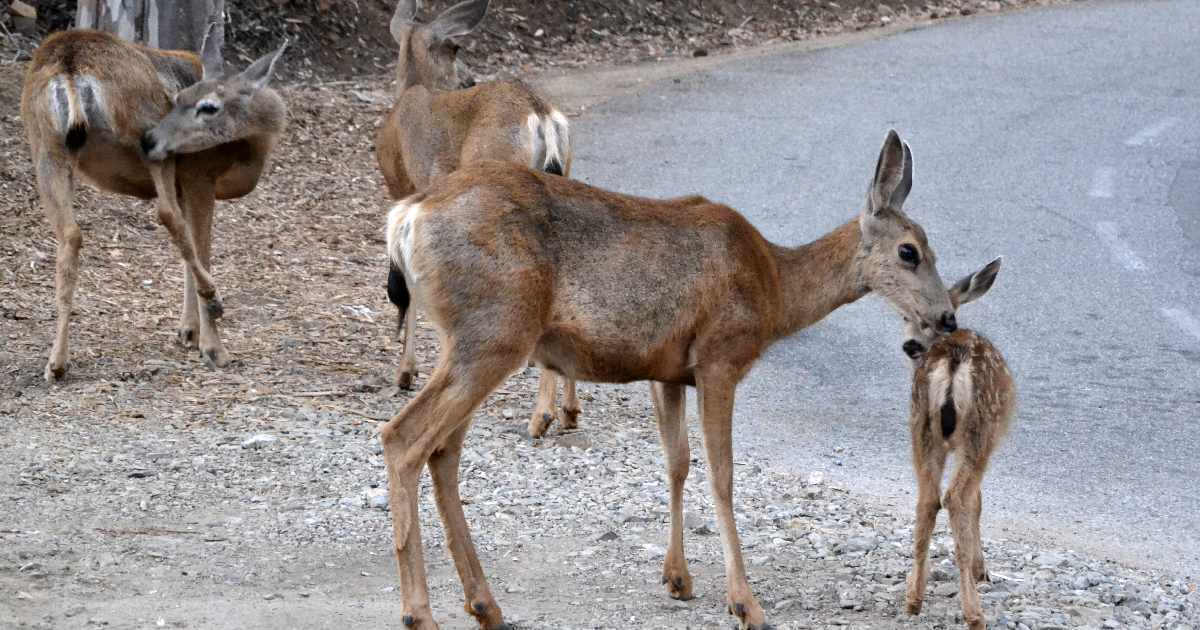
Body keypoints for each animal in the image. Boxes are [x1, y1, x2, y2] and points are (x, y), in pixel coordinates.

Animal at [22, 27, 289, 381]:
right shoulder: (198, 175)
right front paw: (209, 343)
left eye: (206, 106)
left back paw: (57, 363)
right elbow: (200, 246)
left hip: (46, 147)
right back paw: (214, 305)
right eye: (180, 100)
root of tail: (70, 62)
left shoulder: (184, 186)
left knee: (70, 236)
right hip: (143, 130)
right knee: (166, 215)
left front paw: (188, 331)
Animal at [374, 0, 580, 436]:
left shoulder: (401, 188)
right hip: (564, 175)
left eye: (456, 47)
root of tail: (540, 114)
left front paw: (406, 372)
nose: (469, 78)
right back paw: (568, 411)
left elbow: (405, 285)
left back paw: (541, 416)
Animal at [379, 130, 960, 624]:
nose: (948, 316)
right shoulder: (719, 357)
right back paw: (420, 612)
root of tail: (407, 216)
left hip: (471, 340)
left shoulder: (668, 372)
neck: (775, 288)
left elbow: (677, 463)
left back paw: (485, 605)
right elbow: (722, 476)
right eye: (910, 251)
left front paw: (678, 578)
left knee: (443, 451)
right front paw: (745, 603)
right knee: (404, 437)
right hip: (496, 329)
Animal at [902, 255, 1012, 628]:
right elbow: (978, 501)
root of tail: (952, 361)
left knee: (927, 498)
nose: (910, 345)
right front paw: (982, 570)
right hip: (979, 429)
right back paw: (974, 612)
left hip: (921, 424)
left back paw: (913, 599)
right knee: (955, 498)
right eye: (907, 315)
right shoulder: (987, 443)